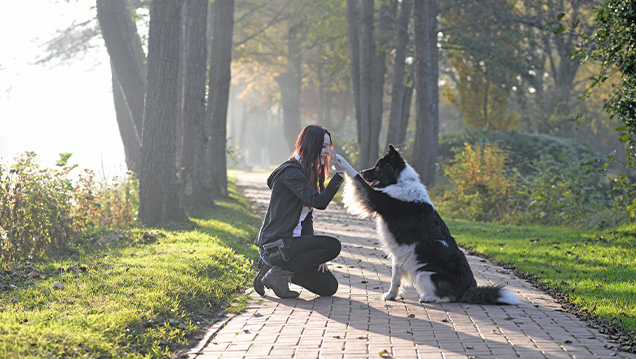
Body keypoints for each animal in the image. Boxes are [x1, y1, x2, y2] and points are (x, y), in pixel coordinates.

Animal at [342, 145, 516, 306]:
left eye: (378, 166)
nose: (363, 170)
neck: (401, 181)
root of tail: (470, 288)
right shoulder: (400, 252)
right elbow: (395, 278)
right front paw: (391, 296)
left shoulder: (374, 197)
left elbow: (354, 176)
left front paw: (339, 159)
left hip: (424, 272)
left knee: (451, 296)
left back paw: (429, 297)